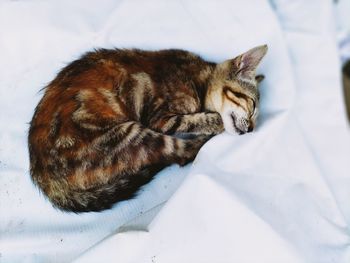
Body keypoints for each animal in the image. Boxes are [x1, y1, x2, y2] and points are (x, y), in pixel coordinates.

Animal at [28, 44, 268, 212]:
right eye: (253, 105)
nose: (251, 130)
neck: (201, 77)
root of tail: (45, 180)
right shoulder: (161, 118)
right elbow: (205, 119)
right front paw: (215, 121)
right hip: (131, 134)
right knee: (181, 153)